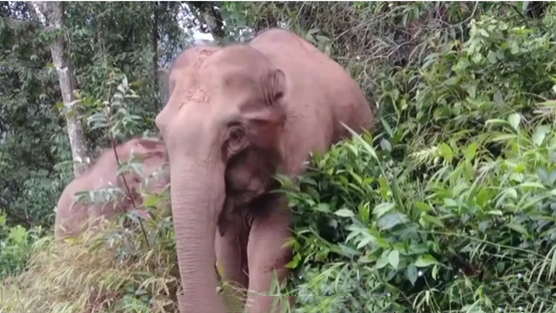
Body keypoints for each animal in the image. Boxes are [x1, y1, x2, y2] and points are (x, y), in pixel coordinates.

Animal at [154, 27, 376, 312]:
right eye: (161, 129)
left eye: (235, 135)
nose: (177, 294)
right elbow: (227, 251)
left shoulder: (302, 147)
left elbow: (267, 246)